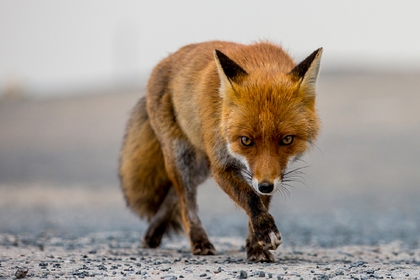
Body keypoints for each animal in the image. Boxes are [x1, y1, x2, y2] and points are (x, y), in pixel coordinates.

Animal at [118, 40, 322, 262]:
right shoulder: (221, 166)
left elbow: (258, 201)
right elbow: (249, 197)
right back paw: (199, 241)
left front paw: (256, 246)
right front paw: (265, 231)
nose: (266, 186)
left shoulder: (264, 174)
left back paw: (153, 232)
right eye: (245, 140)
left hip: (200, 167)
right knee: (186, 205)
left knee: (173, 195)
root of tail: (164, 61)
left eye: (287, 139)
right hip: (182, 158)